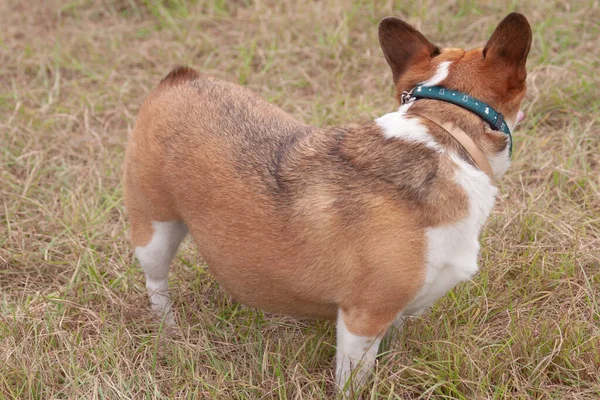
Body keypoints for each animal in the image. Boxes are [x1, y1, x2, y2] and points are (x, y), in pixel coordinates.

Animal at [122, 13, 528, 394]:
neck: (446, 130)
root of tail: (180, 79)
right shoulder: (362, 320)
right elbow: (353, 379)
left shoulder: (392, 312)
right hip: (155, 230)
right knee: (156, 281)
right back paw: (168, 328)